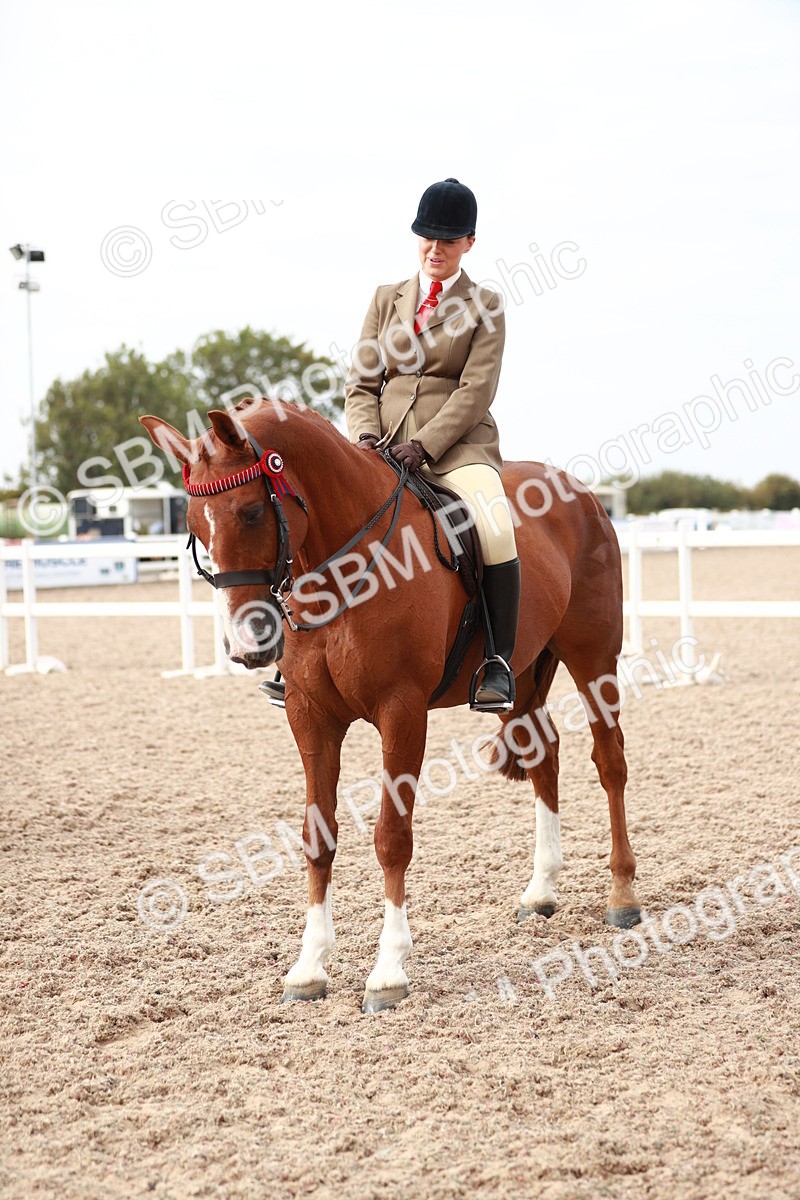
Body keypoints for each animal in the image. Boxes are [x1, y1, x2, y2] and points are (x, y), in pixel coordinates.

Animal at [140, 399, 641, 1013]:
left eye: (253, 512)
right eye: (194, 527)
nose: (245, 645)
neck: (339, 566)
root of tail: (582, 493)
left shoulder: (402, 712)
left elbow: (391, 838)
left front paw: (388, 972)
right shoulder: (310, 716)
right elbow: (317, 837)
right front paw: (308, 968)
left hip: (594, 658)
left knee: (610, 762)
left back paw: (622, 895)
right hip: (520, 679)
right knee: (544, 759)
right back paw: (541, 892)